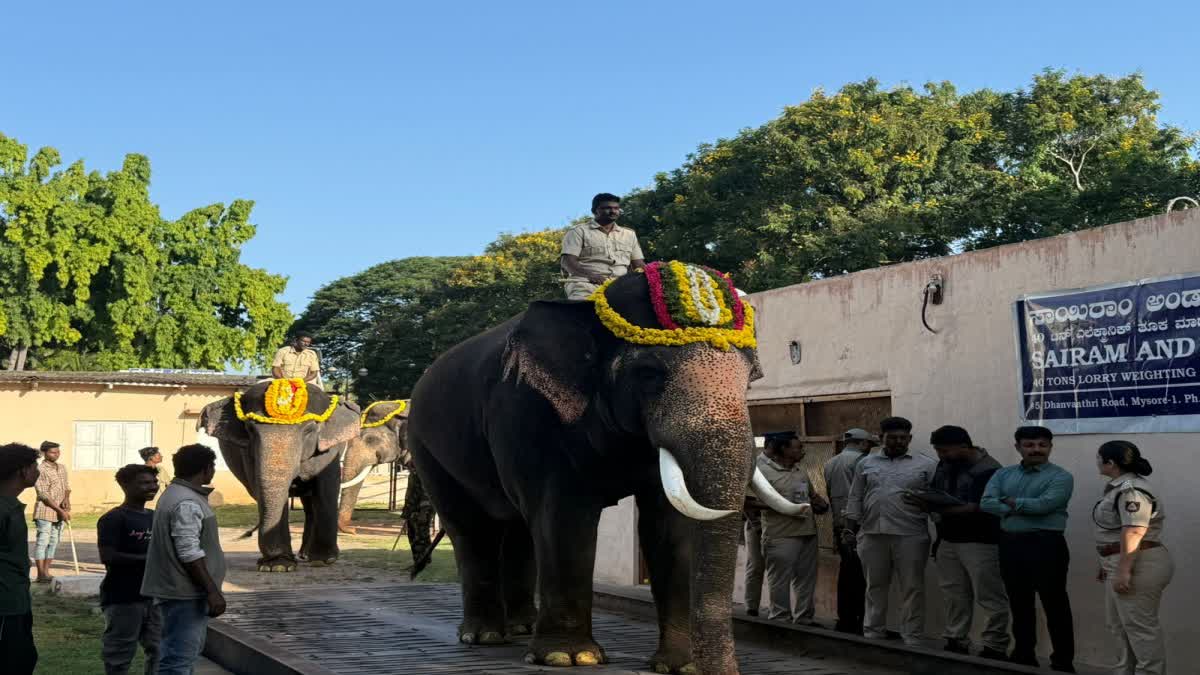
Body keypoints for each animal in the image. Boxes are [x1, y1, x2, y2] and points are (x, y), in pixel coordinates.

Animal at [199, 379, 361, 571]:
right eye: (250, 429)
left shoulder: (329, 448)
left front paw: (324, 560)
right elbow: (262, 489)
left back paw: (308, 556)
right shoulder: (248, 455)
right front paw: (277, 566)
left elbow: (327, 488)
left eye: (309, 429)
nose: (246, 534)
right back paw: (301, 555)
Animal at [406, 262, 802, 675]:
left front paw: (681, 666)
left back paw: (522, 628)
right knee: (472, 529)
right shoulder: (531, 415)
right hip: (427, 450)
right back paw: (484, 636)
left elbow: (669, 524)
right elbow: (563, 518)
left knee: (518, 530)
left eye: (751, 377)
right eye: (648, 373)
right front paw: (569, 658)